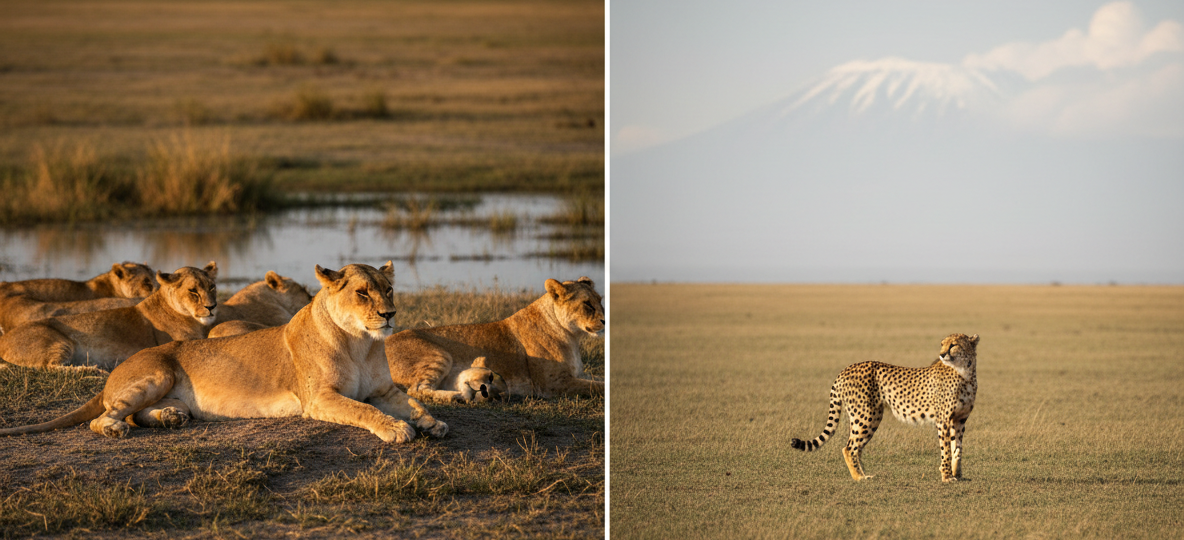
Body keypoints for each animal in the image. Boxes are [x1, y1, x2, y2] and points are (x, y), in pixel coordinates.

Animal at [384, 277, 605, 402]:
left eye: (600, 300)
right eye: (587, 304)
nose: (605, 320)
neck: (572, 336)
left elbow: (598, 380)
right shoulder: (553, 384)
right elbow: (595, 386)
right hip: (439, 355)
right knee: (416, 390)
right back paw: (457, 396)